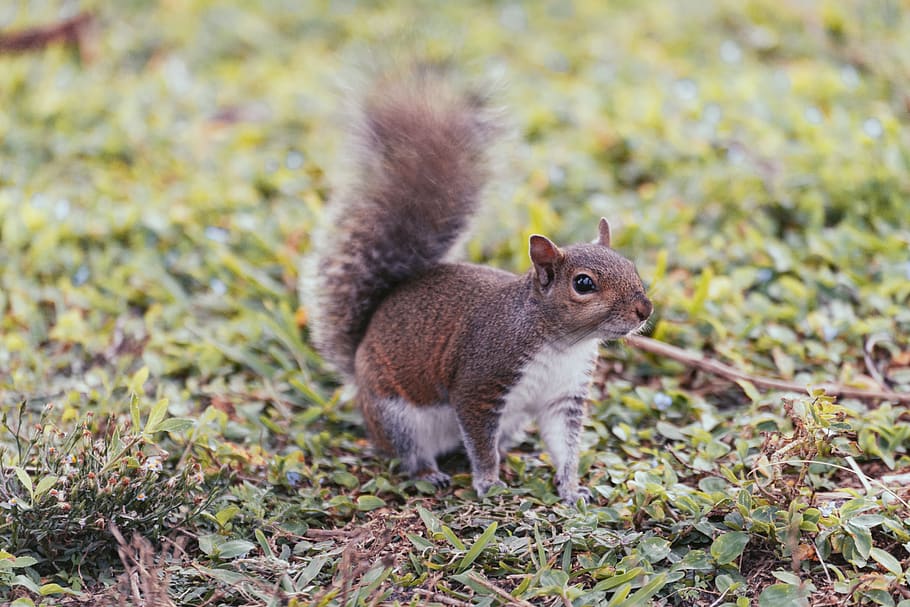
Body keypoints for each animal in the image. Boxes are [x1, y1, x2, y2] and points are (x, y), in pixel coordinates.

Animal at [304, 65, 653, 504]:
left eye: (631, 265)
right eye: (584, 283)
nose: (644, 309)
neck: (562, 344)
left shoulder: (563, 397)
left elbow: (565, 444)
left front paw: (572, 488)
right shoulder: (480, 382)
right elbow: (480, 442)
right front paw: (488, 481)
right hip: (395, 414)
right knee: (409, 450)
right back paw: (428, 472)